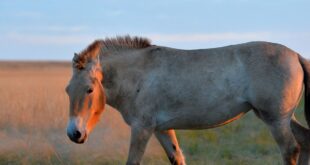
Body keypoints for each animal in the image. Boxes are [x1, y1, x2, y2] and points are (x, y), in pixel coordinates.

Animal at [65, 35, 310, 164]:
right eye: (68, 90)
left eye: (89, 89)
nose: (74, 134)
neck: (139, 75)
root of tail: (296, 55)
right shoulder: (161, 129)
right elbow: (177, 157)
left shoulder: (142, 128)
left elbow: (133, 161)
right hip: (281, 118)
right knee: (305, 141)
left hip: (276, 120)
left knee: (291, 149)